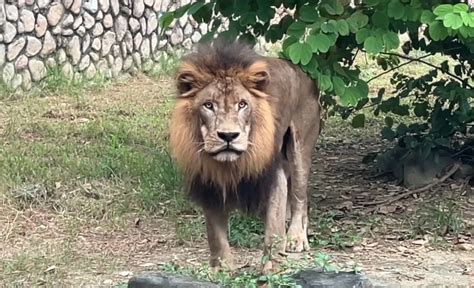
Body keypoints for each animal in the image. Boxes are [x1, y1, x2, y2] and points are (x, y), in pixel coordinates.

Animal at [168, 39, 322, 272]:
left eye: (242, 104)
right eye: (208, 105)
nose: (228, 136)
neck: (230, 164)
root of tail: (305, 73)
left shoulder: (273, 177)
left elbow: (273, 230)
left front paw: (271, 269)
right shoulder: (208, 183)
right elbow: (216, 236)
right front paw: (221, 270)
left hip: (300, 149)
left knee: (299, 197)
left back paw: (296, 237)